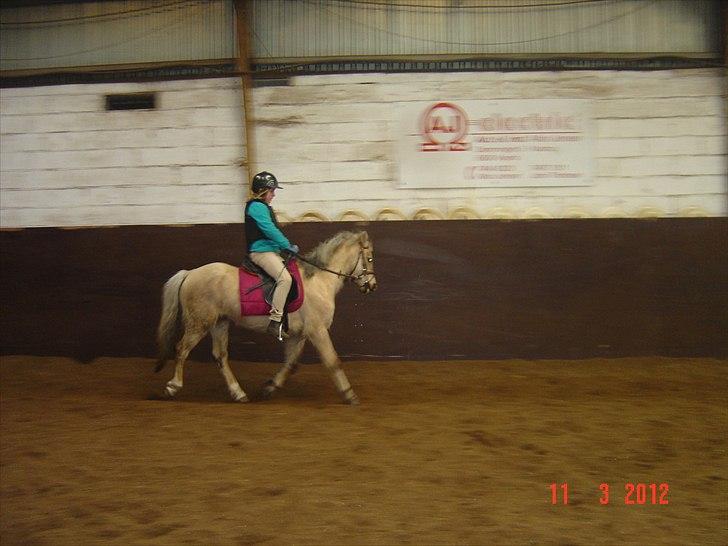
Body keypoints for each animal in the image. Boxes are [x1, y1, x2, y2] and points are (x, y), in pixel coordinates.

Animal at [156, 230, 378, 404]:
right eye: (369, 259)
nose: (372, 286)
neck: (319, 280)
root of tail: (189, 273)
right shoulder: (318, 330)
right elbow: (333, 361)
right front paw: (349, 394)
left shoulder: (299, 334)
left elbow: (291, 364)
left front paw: (269, 387)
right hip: (199, 323)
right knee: (181, 349)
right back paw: (172, 387)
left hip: (220, 323)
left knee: (220, 356)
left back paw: (239, 394)